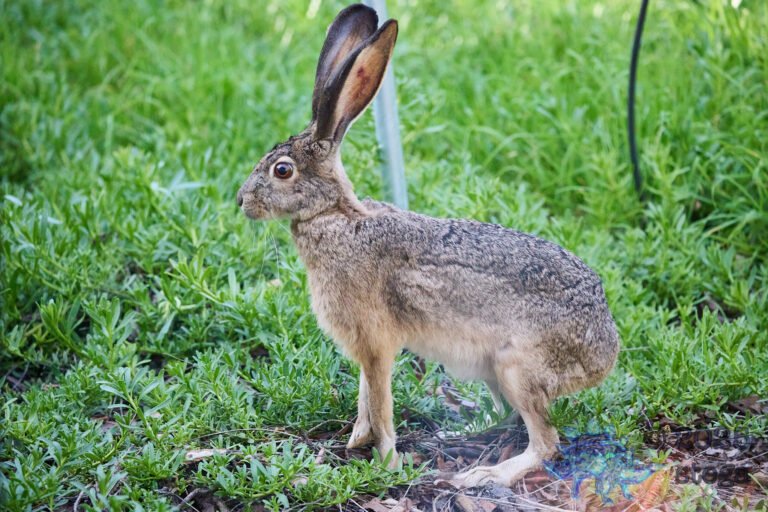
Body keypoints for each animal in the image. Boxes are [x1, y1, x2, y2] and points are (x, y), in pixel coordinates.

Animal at [236, 3, 620, 488]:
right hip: (496, 373)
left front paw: (386, 462)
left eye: (282, 170)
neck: (334, 216)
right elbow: (364, 397)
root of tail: (606, 348)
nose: (241, 201)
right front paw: (356, 441)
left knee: (545, 442)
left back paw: (481, 476)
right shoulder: (366, 350)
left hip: (517, 368)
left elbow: (379, 402)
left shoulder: (376, 344)